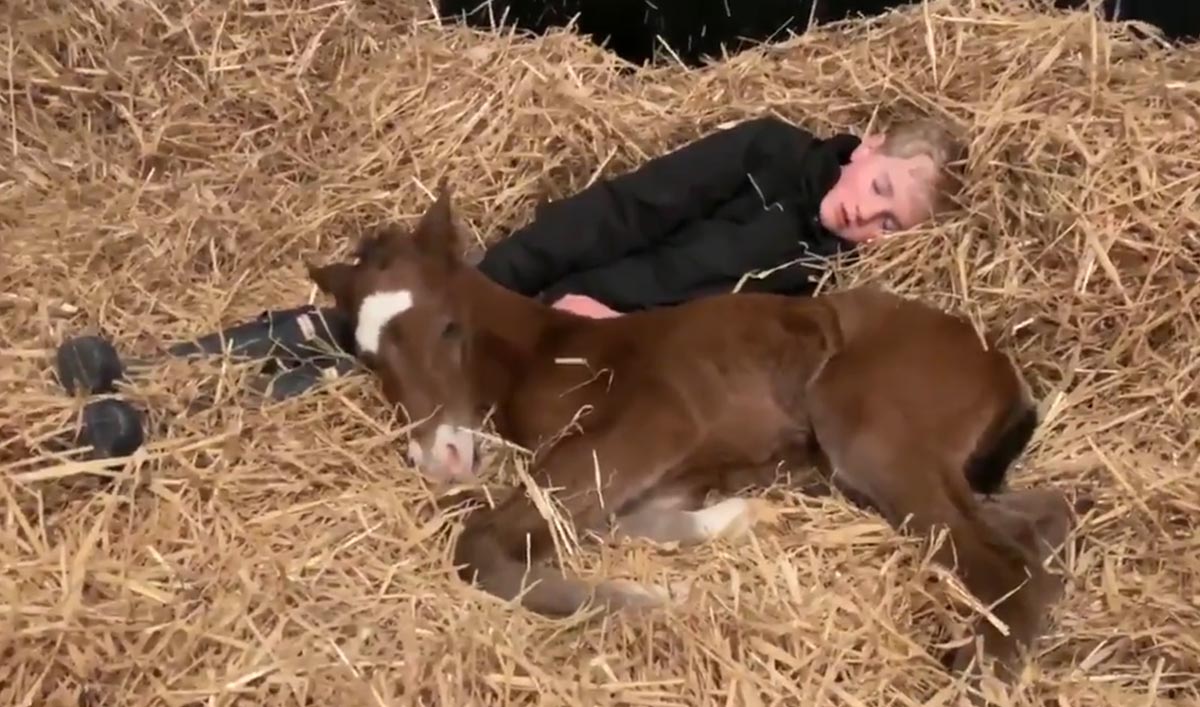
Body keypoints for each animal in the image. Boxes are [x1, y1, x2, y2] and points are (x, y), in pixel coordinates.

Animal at [306, 181, 1079, 682]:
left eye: (447, 326)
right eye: (367, 355)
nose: (439, 456)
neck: (551, 352)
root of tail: (995, 361)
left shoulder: (650, 425)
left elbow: (479, 544)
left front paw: (642, 603)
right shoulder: (651, 473)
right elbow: (637, 521)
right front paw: (740, 519)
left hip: (867, 431)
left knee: (1006, 567)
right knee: (1043, 520)